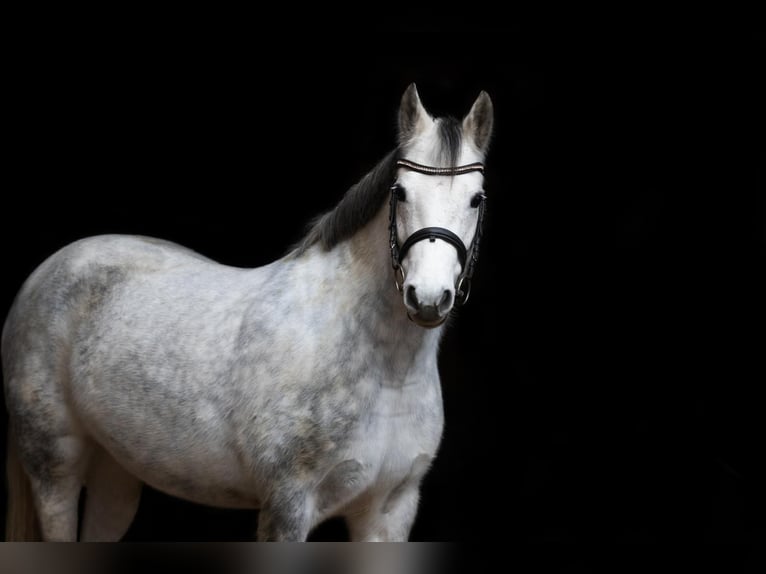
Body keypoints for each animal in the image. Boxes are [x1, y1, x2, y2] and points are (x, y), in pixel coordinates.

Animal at [3, 83, 496, 544]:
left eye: (476, 199)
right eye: (401, 192)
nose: (427, 297)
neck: (384, 370)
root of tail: (46, 272)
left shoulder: (390, 512)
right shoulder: (287, 506)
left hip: (115, 472)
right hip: (55, 470)